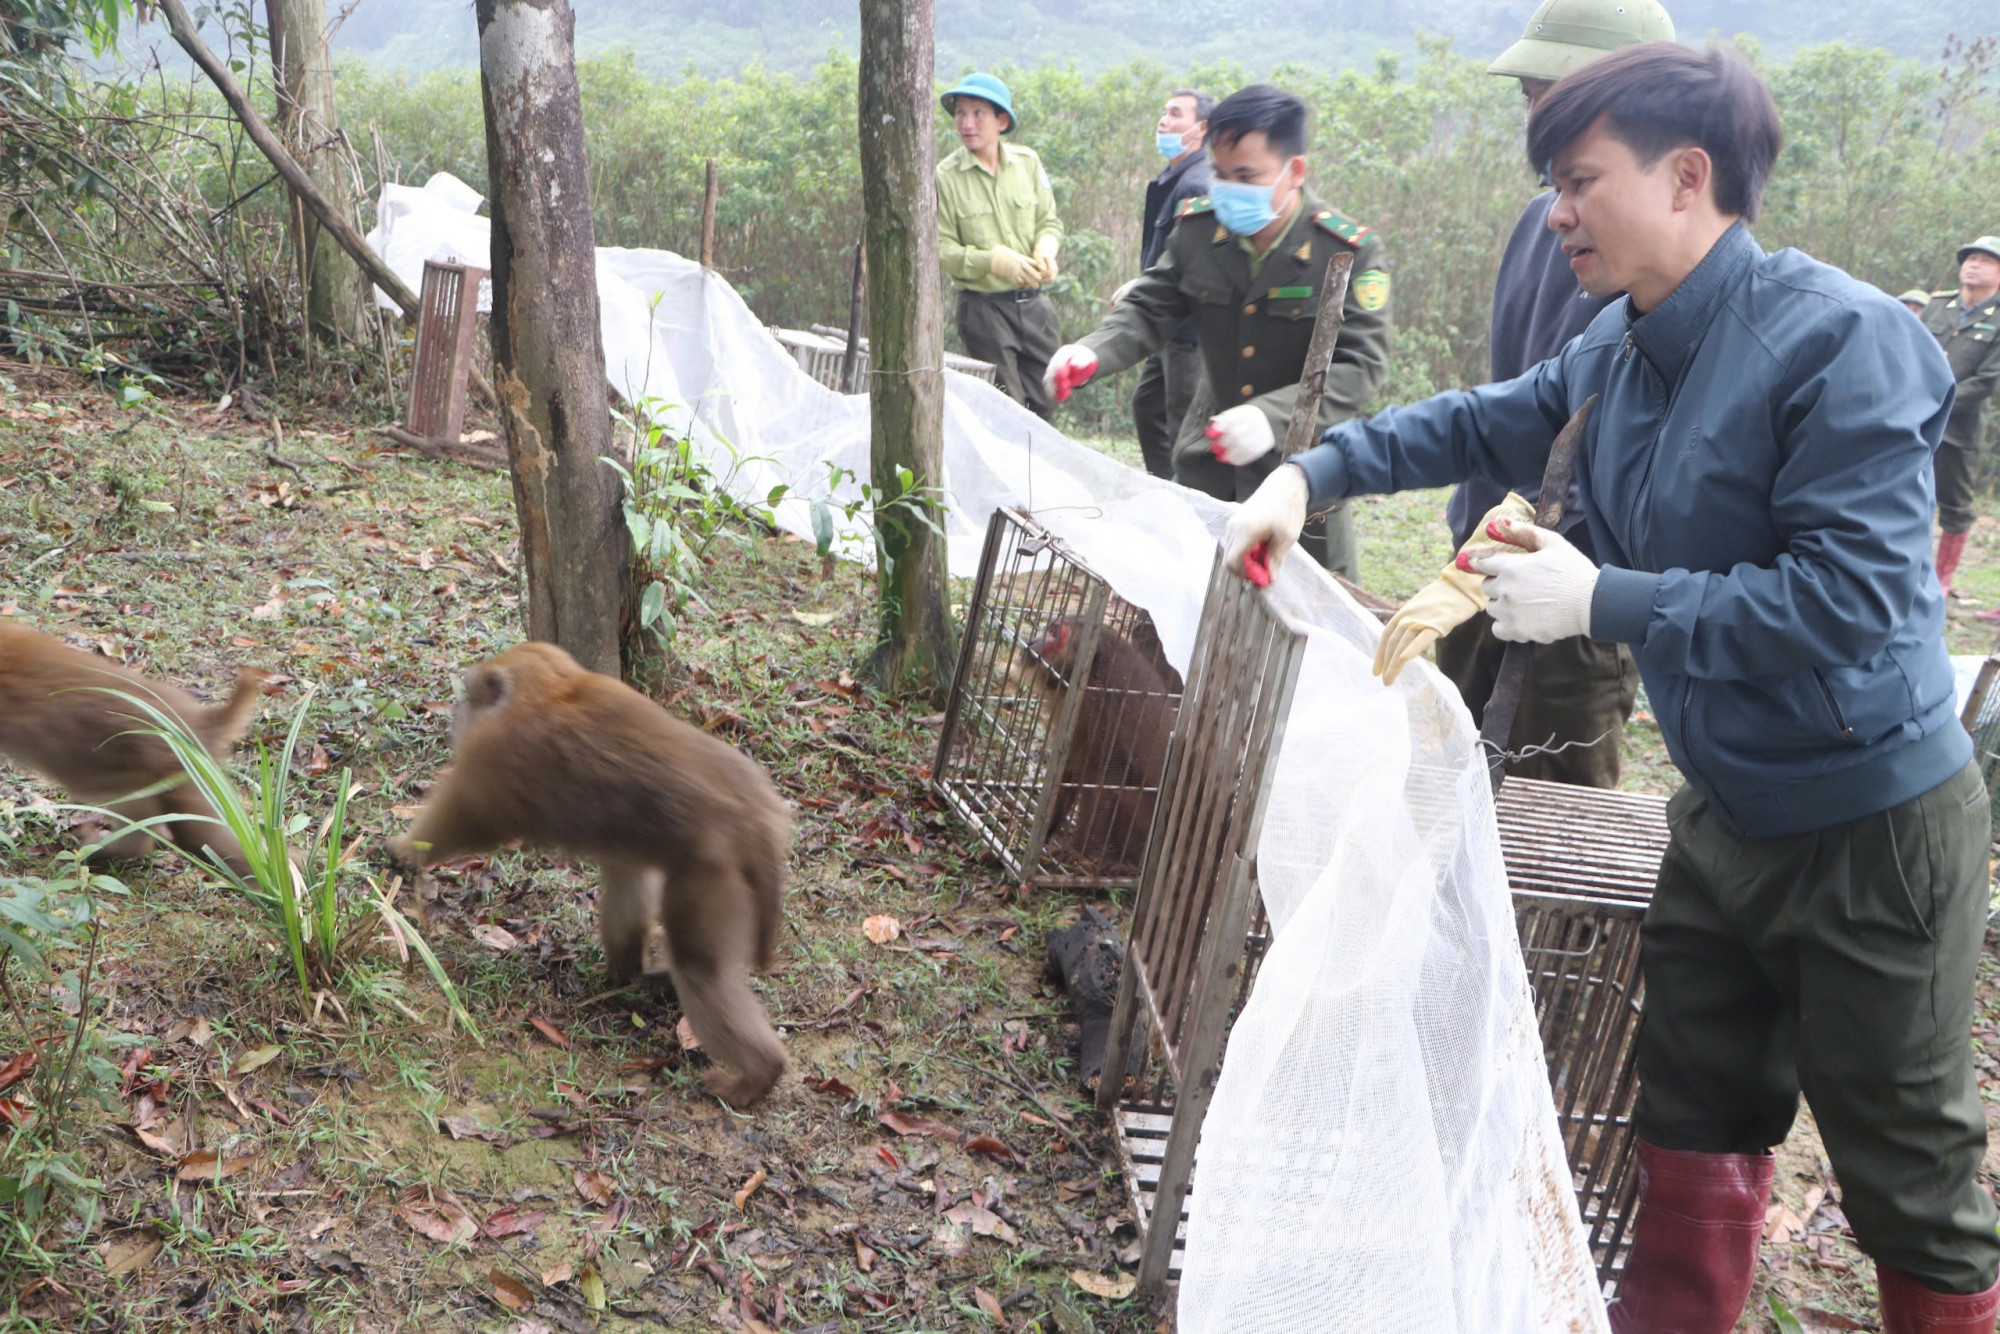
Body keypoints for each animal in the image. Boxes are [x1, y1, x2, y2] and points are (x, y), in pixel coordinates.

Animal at [936, 506, 1184, 892]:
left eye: (1055, 633)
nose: (1034, 640)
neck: (1090, 670)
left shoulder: (1099, 704)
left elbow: (1103, 778)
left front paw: (1076, 851)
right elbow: (1073, 769)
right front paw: (1051, 832)